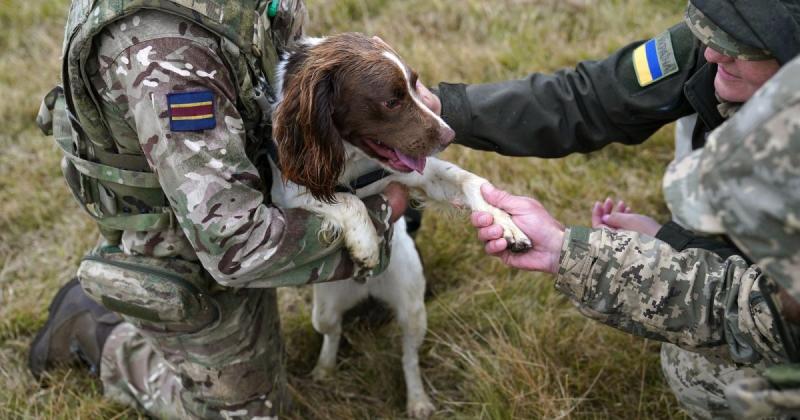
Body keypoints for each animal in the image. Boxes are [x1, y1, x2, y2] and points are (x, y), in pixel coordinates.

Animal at [268, 32, 532, 416]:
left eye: (415, 84)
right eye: (391, 101)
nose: (449, 134)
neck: (353, 161)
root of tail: (367, 290)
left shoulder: (419, 174)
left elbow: (468, 180)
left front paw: (505, 222)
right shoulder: (285, 190)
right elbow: (345, 200)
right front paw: (365, 242)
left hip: (413, 309)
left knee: (409, 357)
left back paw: (418, 400)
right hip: (324, 310)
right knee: (333, 333)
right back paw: (325, 369)